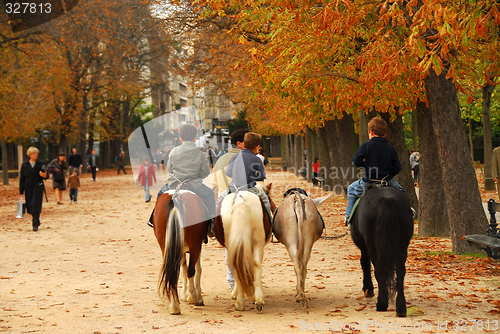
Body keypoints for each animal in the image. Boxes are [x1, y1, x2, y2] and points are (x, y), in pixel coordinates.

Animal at [350, 187, 412, 318]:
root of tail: (387, 199)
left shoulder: (364, 247)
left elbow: (365, 263)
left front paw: (368, 289)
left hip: (372, 244)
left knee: (379, 269)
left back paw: (382, 304)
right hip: (402, 245)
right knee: (400, 272)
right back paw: (401, 308)